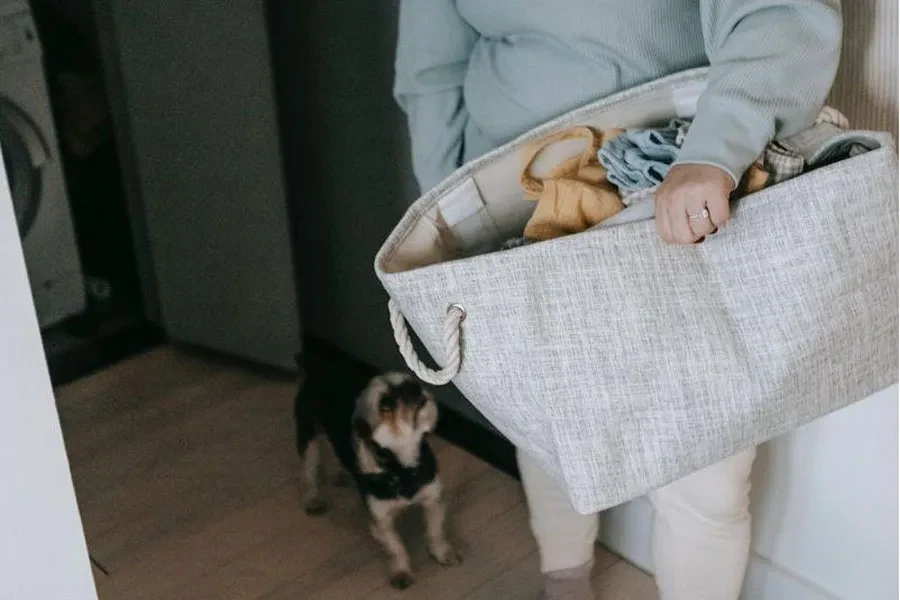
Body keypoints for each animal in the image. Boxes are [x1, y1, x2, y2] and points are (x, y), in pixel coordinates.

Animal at [296, 352, 464, 592]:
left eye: (410, 382)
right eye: (385, 406)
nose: (414, 389)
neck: (403, 468)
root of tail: (316, 362)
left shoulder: (433, 498)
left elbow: (436, 531)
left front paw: (443, 554)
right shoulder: (380, 521)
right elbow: (396, 547)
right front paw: (402, 572)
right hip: (308, 433)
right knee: (309, 471)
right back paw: (313, 499)